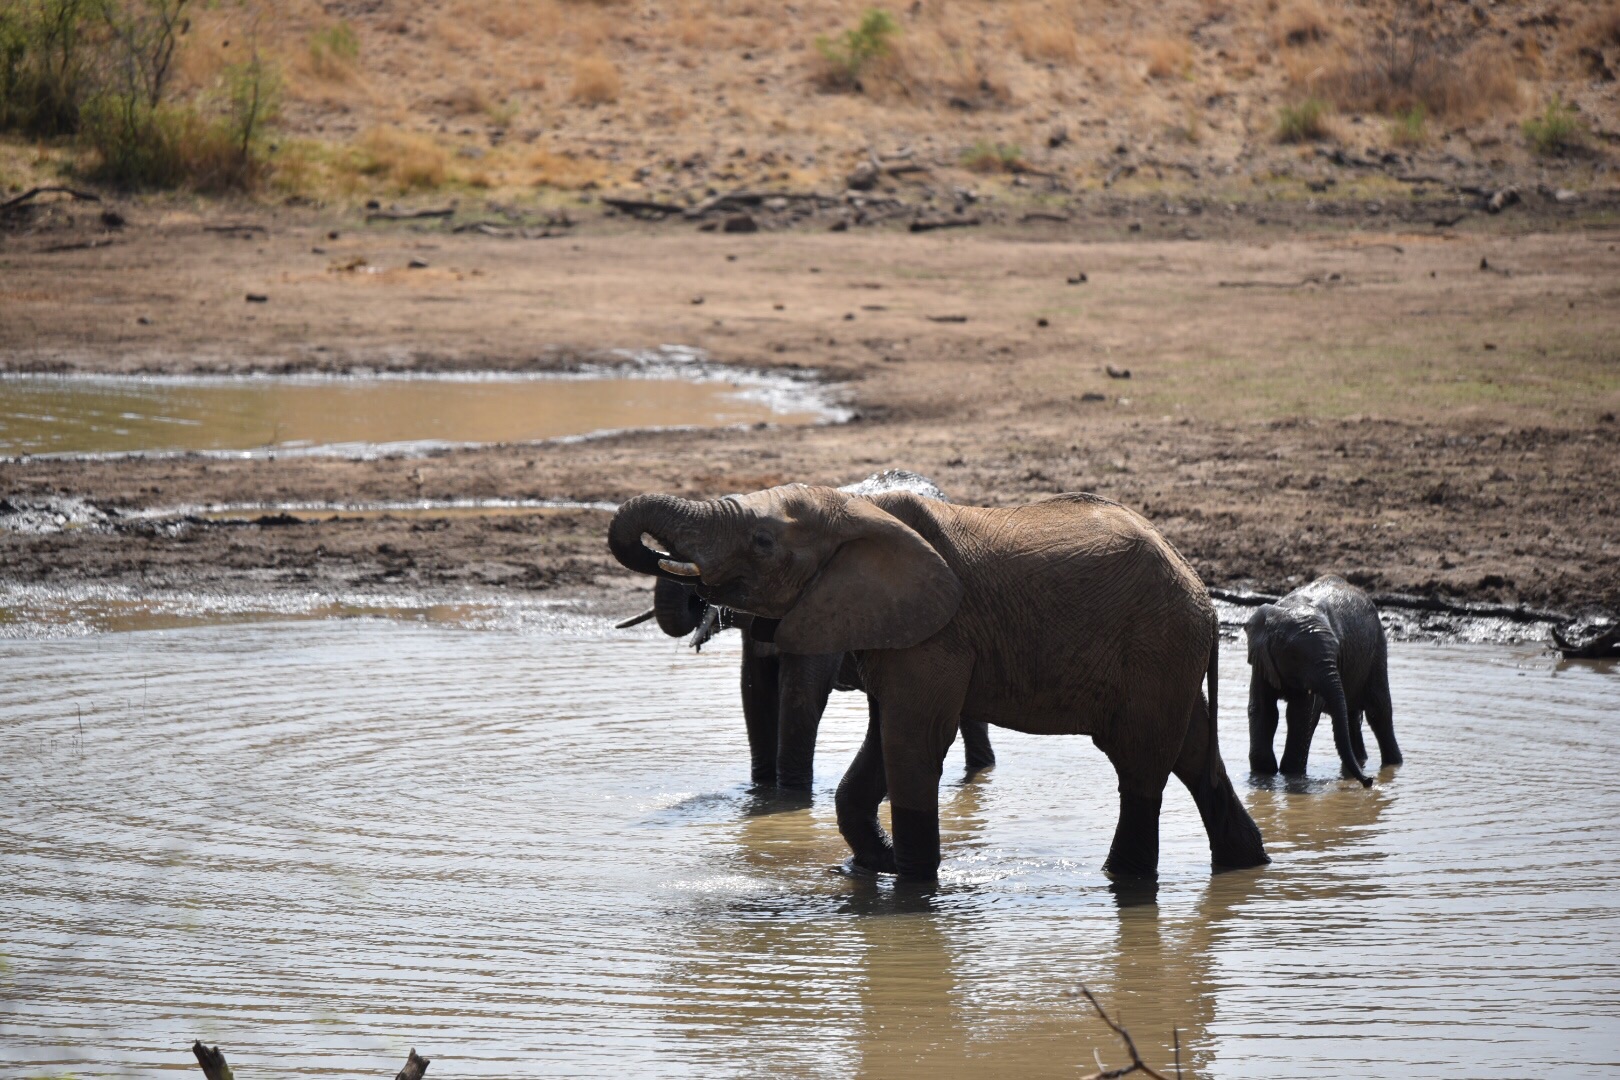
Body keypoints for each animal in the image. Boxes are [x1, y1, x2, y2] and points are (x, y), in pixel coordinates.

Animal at [1244, 573, 1399, 786]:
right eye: (1295, 656)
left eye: (1337, 653)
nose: (1369, 781)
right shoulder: (1262, 661)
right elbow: (1263, 710)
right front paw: (1263, 776)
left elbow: (1301, 714)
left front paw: (1291, 775)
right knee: (1351, 715)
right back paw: (1361, 762)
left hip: (1377, 649)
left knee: (1379, 712)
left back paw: (1393, 765)